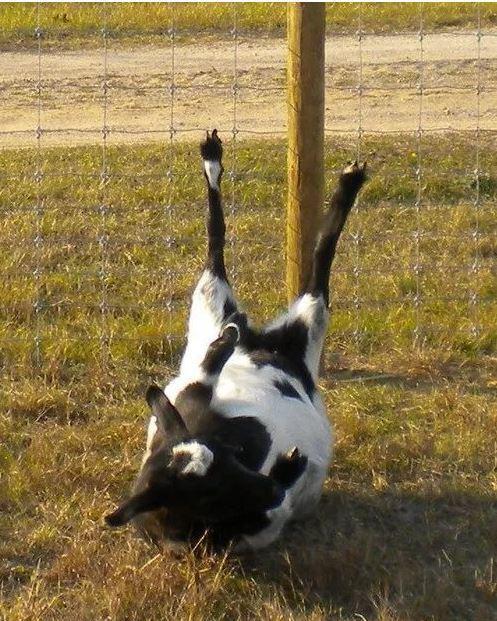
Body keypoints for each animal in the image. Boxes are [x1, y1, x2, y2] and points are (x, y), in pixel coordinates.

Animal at [104, 130, 366, 548]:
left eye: (228, 457)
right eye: (210, 494)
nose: (269, 488)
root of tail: (267, 341)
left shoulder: (187, 400)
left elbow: (208, 366)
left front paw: (226, 341)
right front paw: (290, 466)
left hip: (210, 301)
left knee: (217, 247)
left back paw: (213, 158)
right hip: (304, 318)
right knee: (319, 263)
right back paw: (349, 183)